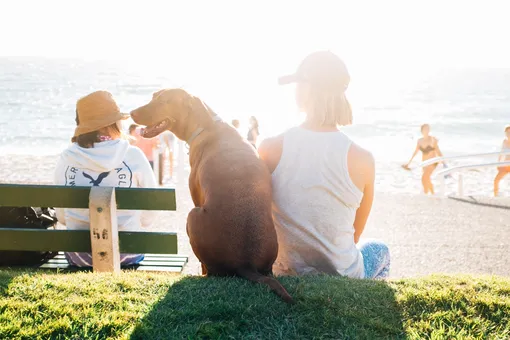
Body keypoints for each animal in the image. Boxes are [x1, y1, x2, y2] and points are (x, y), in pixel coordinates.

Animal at [129, 88, 292, 302]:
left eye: (163, 101)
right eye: (153, 97)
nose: (131, 113)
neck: (206, 125)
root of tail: (246, 264)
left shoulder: (196, 197)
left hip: (192, 216)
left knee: (209, 268)